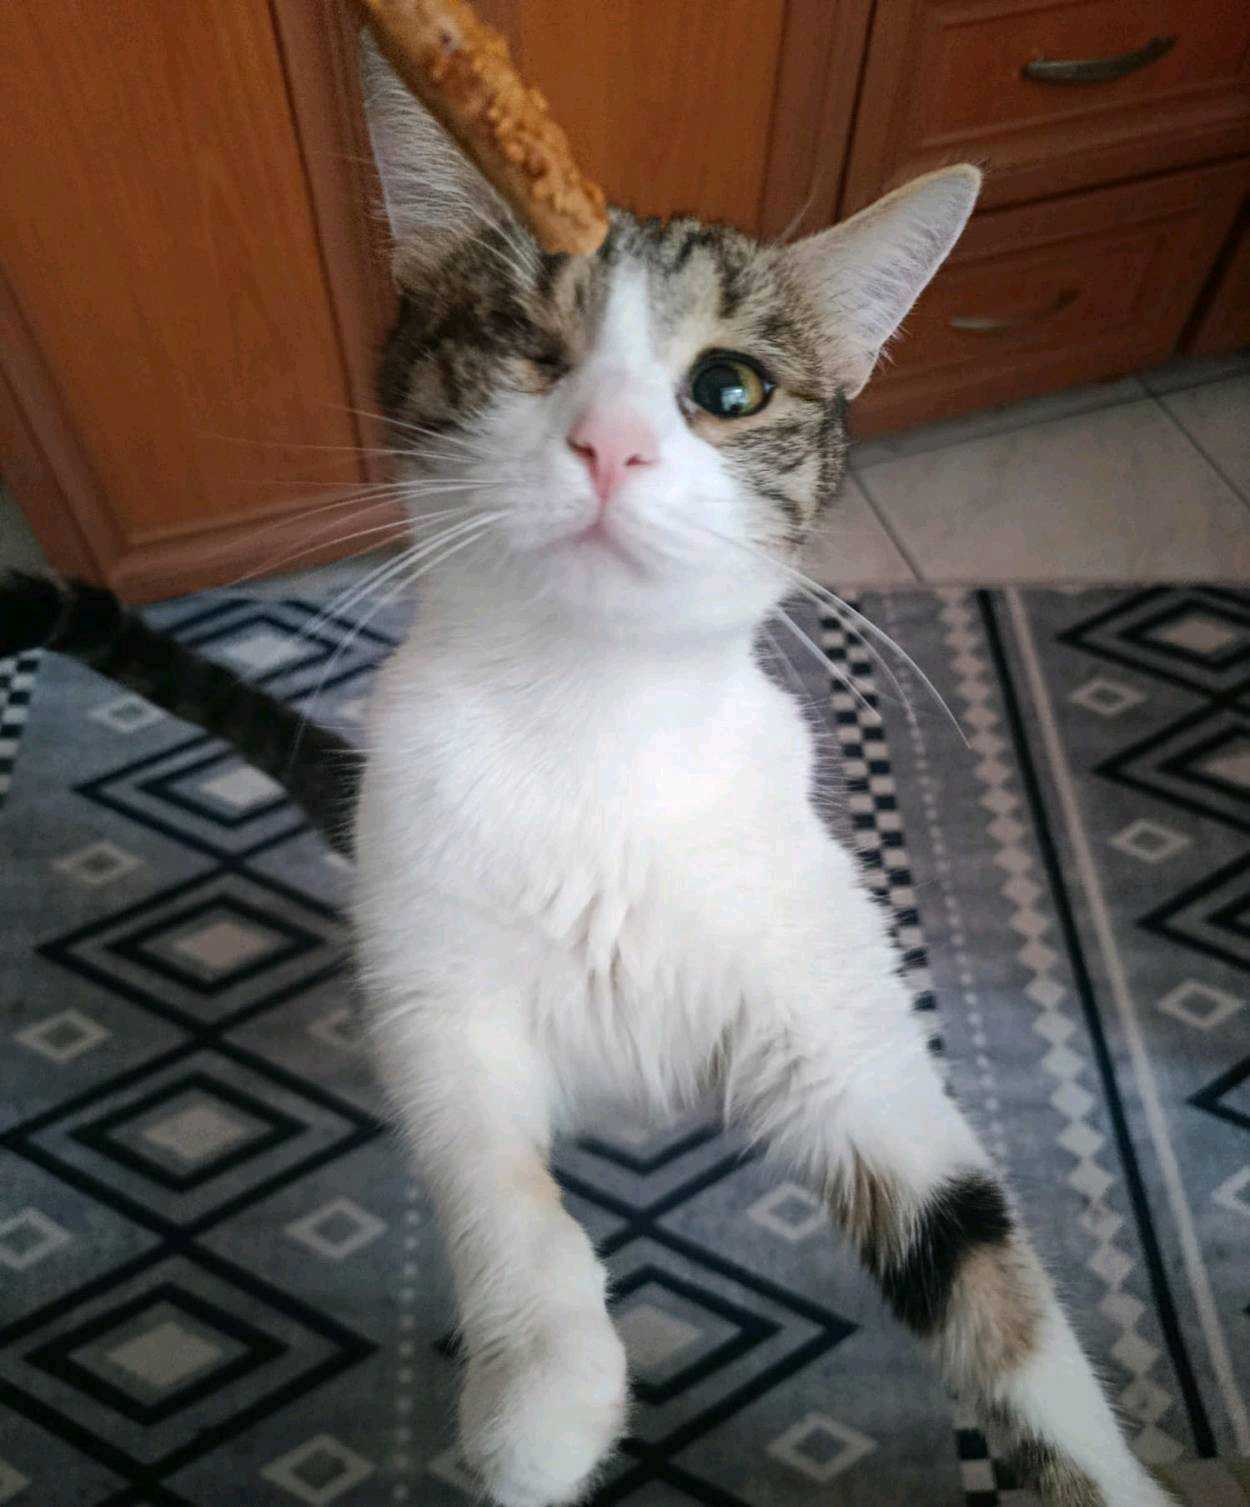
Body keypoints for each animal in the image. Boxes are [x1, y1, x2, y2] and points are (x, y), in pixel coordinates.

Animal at [0, 39, 1179, 1507]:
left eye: (727, 387)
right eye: (526, 346)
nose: (609, 442)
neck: (593, 726)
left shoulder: (840, 1022)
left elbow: (981, 1269)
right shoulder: (431, 974)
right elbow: (491, 1172)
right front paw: (542, 1386)